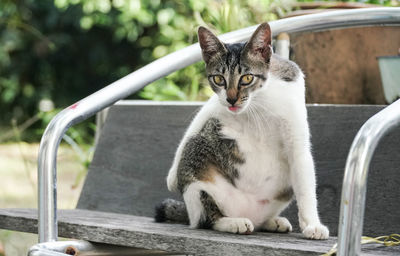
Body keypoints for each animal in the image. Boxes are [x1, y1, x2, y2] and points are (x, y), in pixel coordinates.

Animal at [155, 22, 328, 240]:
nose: (231, 99)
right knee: (205, 218)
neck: (260, 100)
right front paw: (171, 176)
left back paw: (272, 221)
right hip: (199, 171)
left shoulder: (295, 126)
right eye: (219, 79)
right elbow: (196, 121)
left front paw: (312, 224)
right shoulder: (216, 105)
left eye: (246, 78)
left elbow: (305, 180)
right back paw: (231, 222)